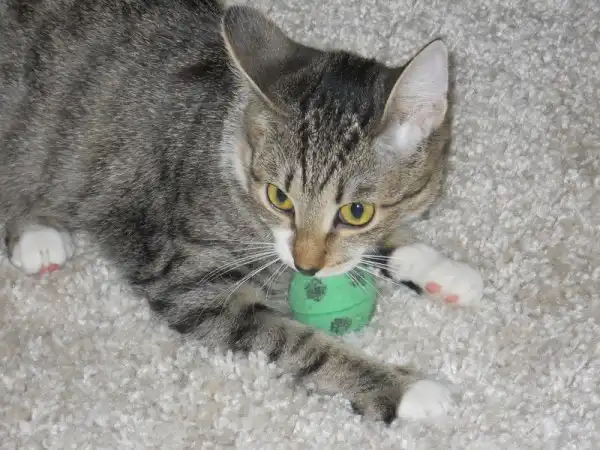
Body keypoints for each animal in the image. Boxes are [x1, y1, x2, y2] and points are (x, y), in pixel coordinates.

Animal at [0, 0, 484, 424]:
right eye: (279, 197)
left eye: (357, 212)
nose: (306, 267)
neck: (227, 138)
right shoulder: (192, 285)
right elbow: (298, 342)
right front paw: (404, 388)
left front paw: (440, 268)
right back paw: (35, 231)